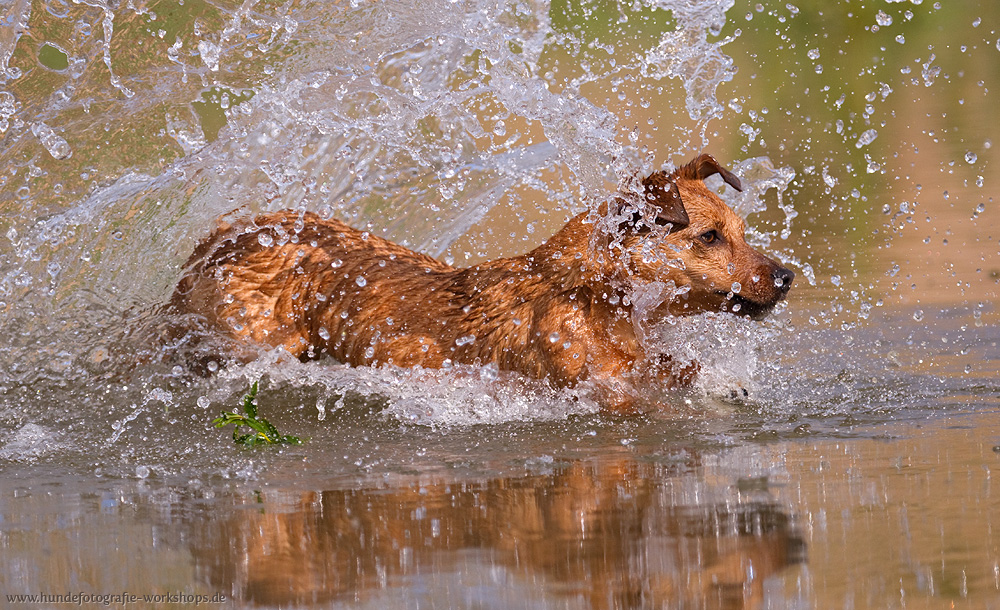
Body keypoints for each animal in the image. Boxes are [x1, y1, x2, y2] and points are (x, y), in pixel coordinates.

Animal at [174, 153, 796, 408]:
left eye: (742, 231)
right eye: (710, 237)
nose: (788, 276)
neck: (592, 296)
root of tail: (223, 236)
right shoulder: (597, 387)